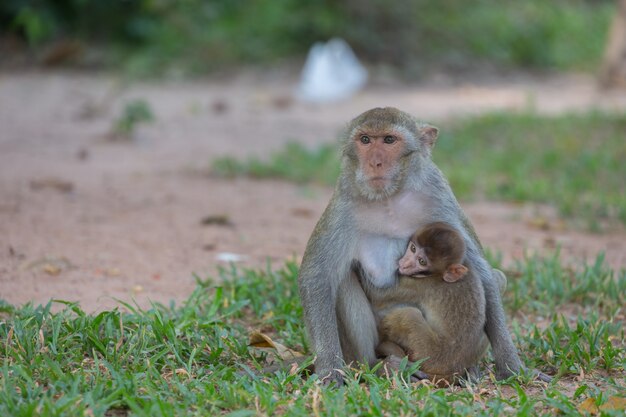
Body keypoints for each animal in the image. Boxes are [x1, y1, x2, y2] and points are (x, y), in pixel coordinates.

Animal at [298, 106, 520, 384]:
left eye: (389, 140)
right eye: (365, 140)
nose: (375, 162)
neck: (389, 197)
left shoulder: (438, 195)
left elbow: (483, 272)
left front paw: (510, 364)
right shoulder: (343, 204)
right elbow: (318, 277)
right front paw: (329, 371)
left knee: (498, 277)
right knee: (343, 282)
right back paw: (375, 366)